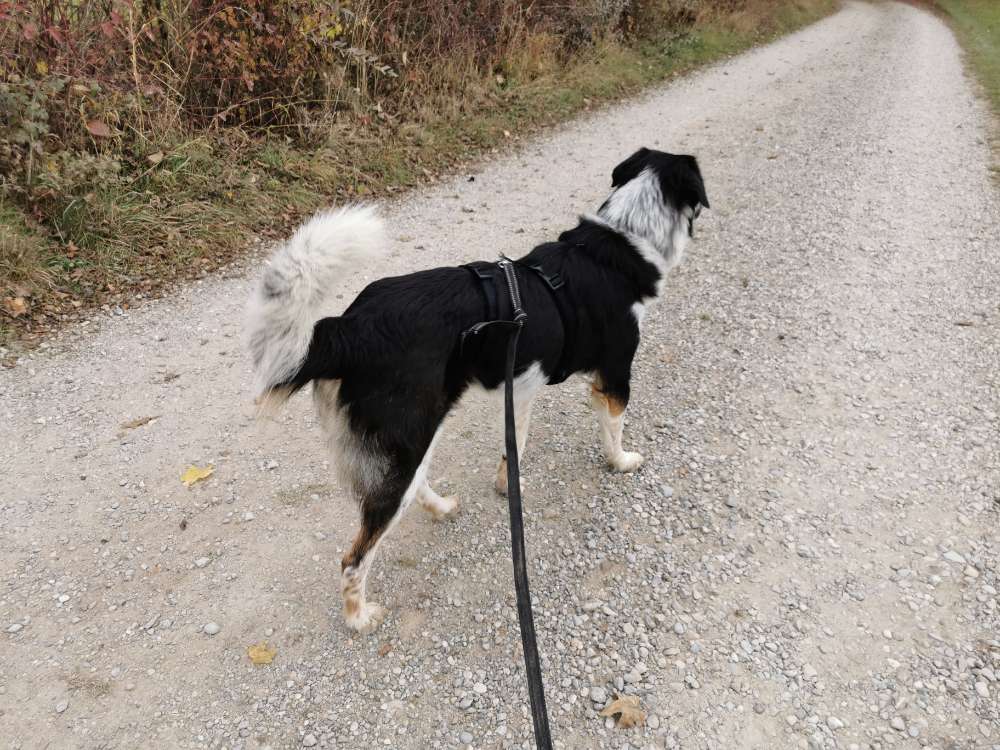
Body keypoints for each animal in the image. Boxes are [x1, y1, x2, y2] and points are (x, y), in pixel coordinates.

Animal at [245, 148, 708, 636]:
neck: (620, 243)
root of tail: (348, 329)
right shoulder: (615, 377)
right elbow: (613, 432)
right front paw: (621, 462)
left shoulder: (521, 386)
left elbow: (513, 448)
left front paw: (508, 487)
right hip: (407, 439)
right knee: (355, 558)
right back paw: (359, 617)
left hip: (411, 437)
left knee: (411, 487)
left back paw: (441, 507)